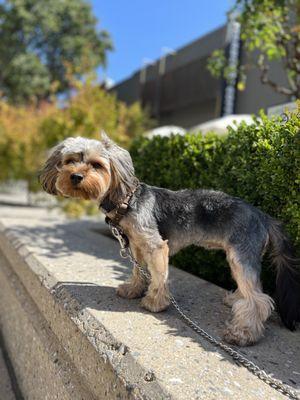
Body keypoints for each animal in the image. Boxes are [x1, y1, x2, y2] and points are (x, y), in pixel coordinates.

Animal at [39, 133, 300, 346]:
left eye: (96, 165)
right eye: (70, 160)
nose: (75, 176)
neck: (126, 200)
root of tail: (263, 216)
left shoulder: (155, 246)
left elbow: (159, 276)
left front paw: (155, 302)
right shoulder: (136, 246)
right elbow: (138, 271)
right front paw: (133, 289)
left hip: (241, 255)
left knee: (260, 300)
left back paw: (244, 333)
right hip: (236, 257)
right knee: (251, 290)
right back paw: (237, 301)